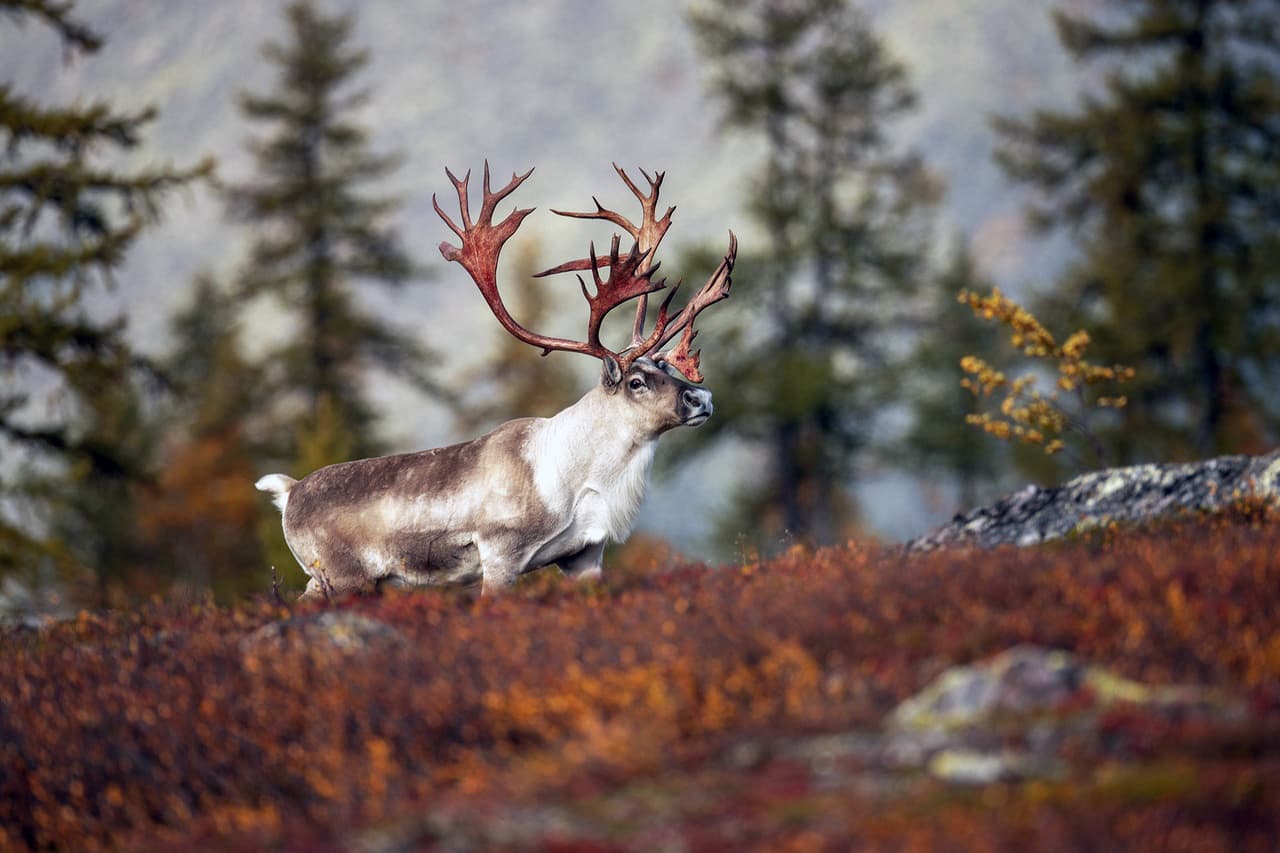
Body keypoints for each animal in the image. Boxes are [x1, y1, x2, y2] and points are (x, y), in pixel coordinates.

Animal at [256, 163, 736, 598]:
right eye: (636, 381)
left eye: (669, 368)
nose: (701, 398)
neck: (581, 478)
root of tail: (289, 492)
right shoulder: (500, 554)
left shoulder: (585, 555)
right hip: (343, 577)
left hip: (331, 580)